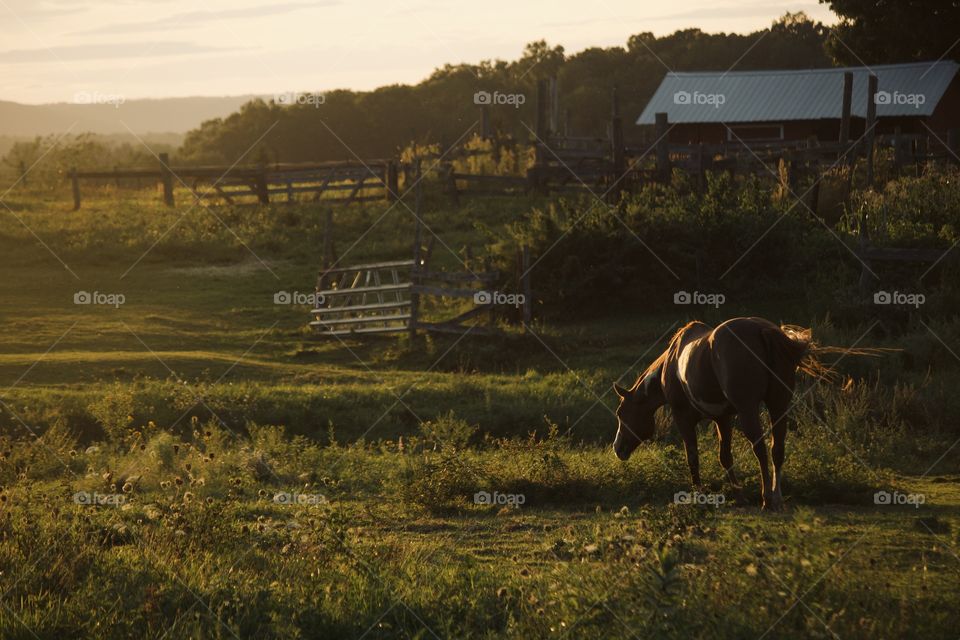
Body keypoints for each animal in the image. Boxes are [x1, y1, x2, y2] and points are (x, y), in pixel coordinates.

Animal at [612, 318, 812, 512]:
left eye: (620, 413)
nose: (617, 448)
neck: (671, 364)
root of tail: (762, 330)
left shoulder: (683, 417)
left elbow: (692, 457)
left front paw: (698, 496)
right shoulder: (723, 419)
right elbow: (725, 457)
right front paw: (739, 496)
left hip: (748, 410)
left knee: (760, 450)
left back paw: (767, 499)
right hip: (778, 406)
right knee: (776, 450)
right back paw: (777, 498)